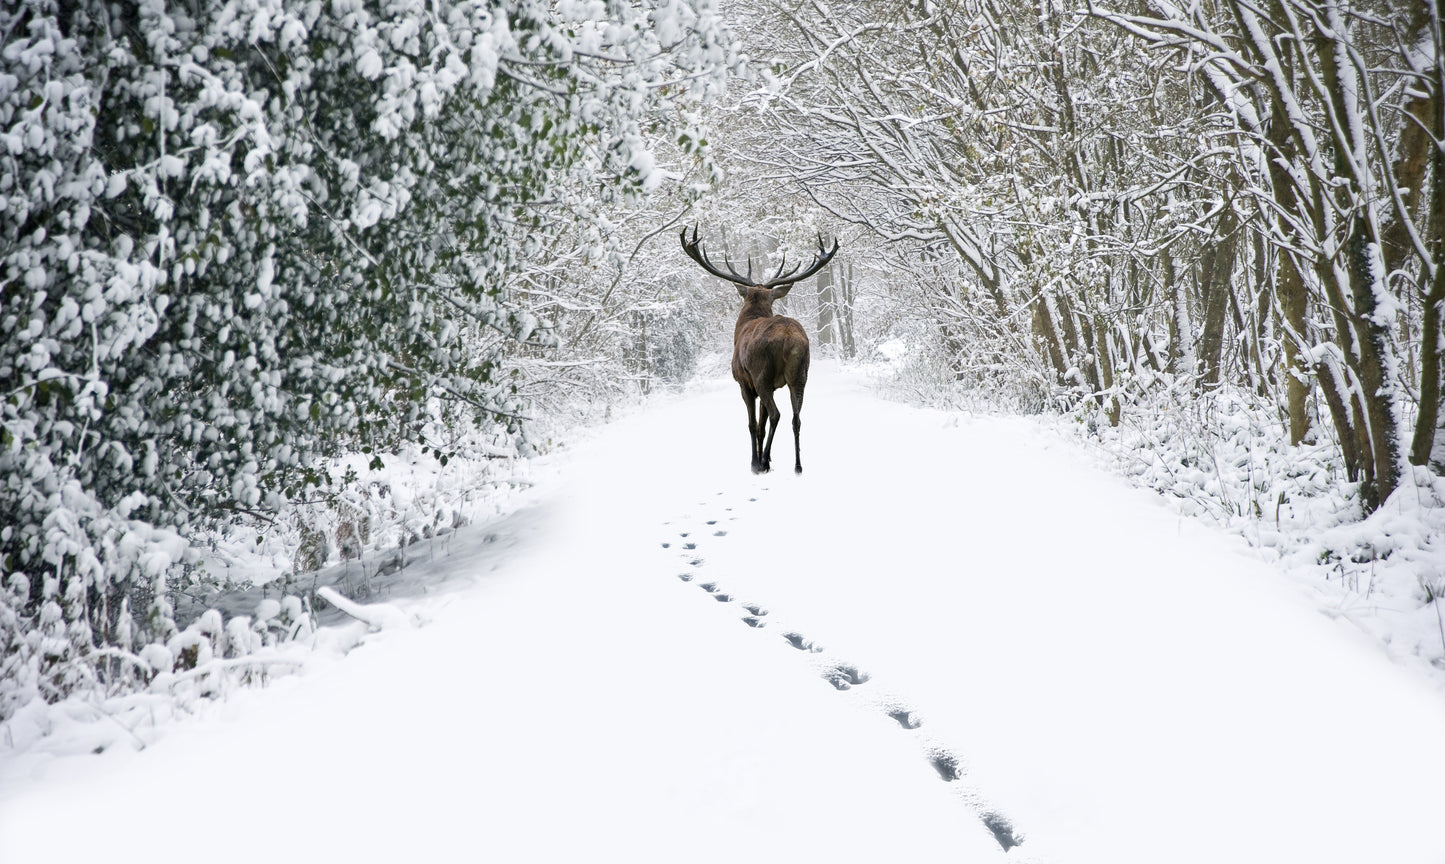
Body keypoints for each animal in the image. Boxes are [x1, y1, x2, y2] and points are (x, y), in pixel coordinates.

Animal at [680, 226, 839, 474]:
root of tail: (789, 338)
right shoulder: (773, 385)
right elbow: (762, 425)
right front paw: (768, 458)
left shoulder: (744, 383)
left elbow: (753, 424)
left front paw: (755, 462)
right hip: (800, 374)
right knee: (796, 417)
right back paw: (797, 466)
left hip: (761, 374)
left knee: (776, 414)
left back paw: (762, 462)